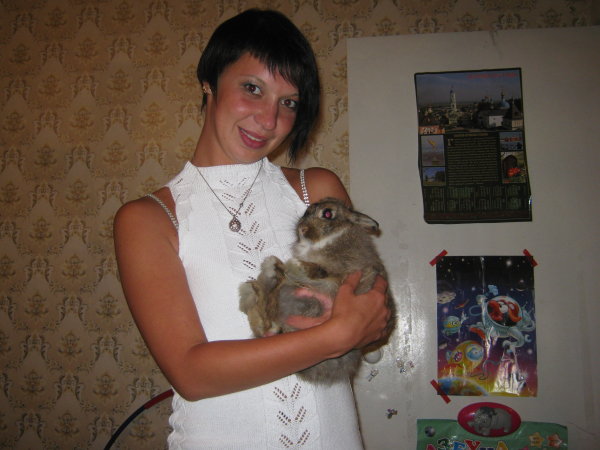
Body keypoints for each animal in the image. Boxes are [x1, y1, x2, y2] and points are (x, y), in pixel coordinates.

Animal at [239, 197, 394, 385]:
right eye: (307, 211)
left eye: (327, 213)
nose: (302, 229)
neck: (328, 237)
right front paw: (281, 267)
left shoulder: (342, 272)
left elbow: (318, 271)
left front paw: (293, 264)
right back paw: (260, 280)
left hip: (312, 304)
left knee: (271, 323)